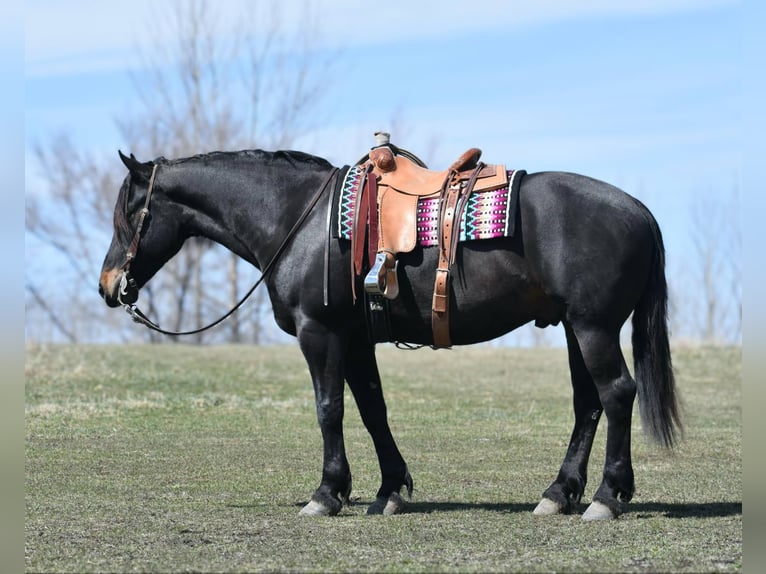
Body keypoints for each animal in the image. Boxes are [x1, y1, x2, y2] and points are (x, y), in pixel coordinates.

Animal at [98, 147, 682, 520]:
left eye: (130, 211)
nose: (108, 285)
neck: (298, 219)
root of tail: (640, 212)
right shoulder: (356, 340)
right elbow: (372, 410)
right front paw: (388, 490)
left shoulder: (320, 333)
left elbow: (329, 409)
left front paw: (326, 493)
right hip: (575, 329)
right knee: (589, 404)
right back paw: (560, 493)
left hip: (593, 327)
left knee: (616, 394)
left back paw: (606, 497)